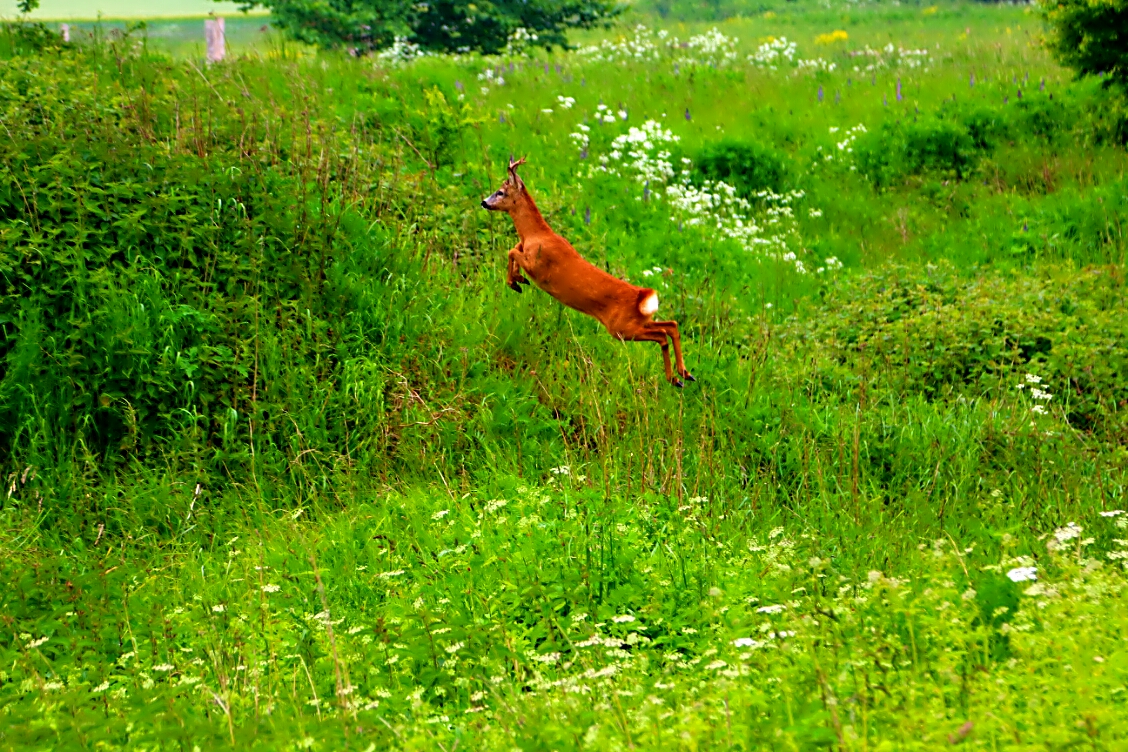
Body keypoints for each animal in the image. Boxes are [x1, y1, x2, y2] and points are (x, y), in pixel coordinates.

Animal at [480, 157, 690, 387]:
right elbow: (514, 248)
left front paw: (515, 282)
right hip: (637, 322)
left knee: (662, 334)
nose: (484, 202)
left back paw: (676, 376)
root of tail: (643, 296)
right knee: (671, 325)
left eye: (501, 192)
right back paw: (683, 375)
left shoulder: (538, 265)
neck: (535, 234)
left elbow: (511, 251)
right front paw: (517, 280)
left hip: (621, 328)